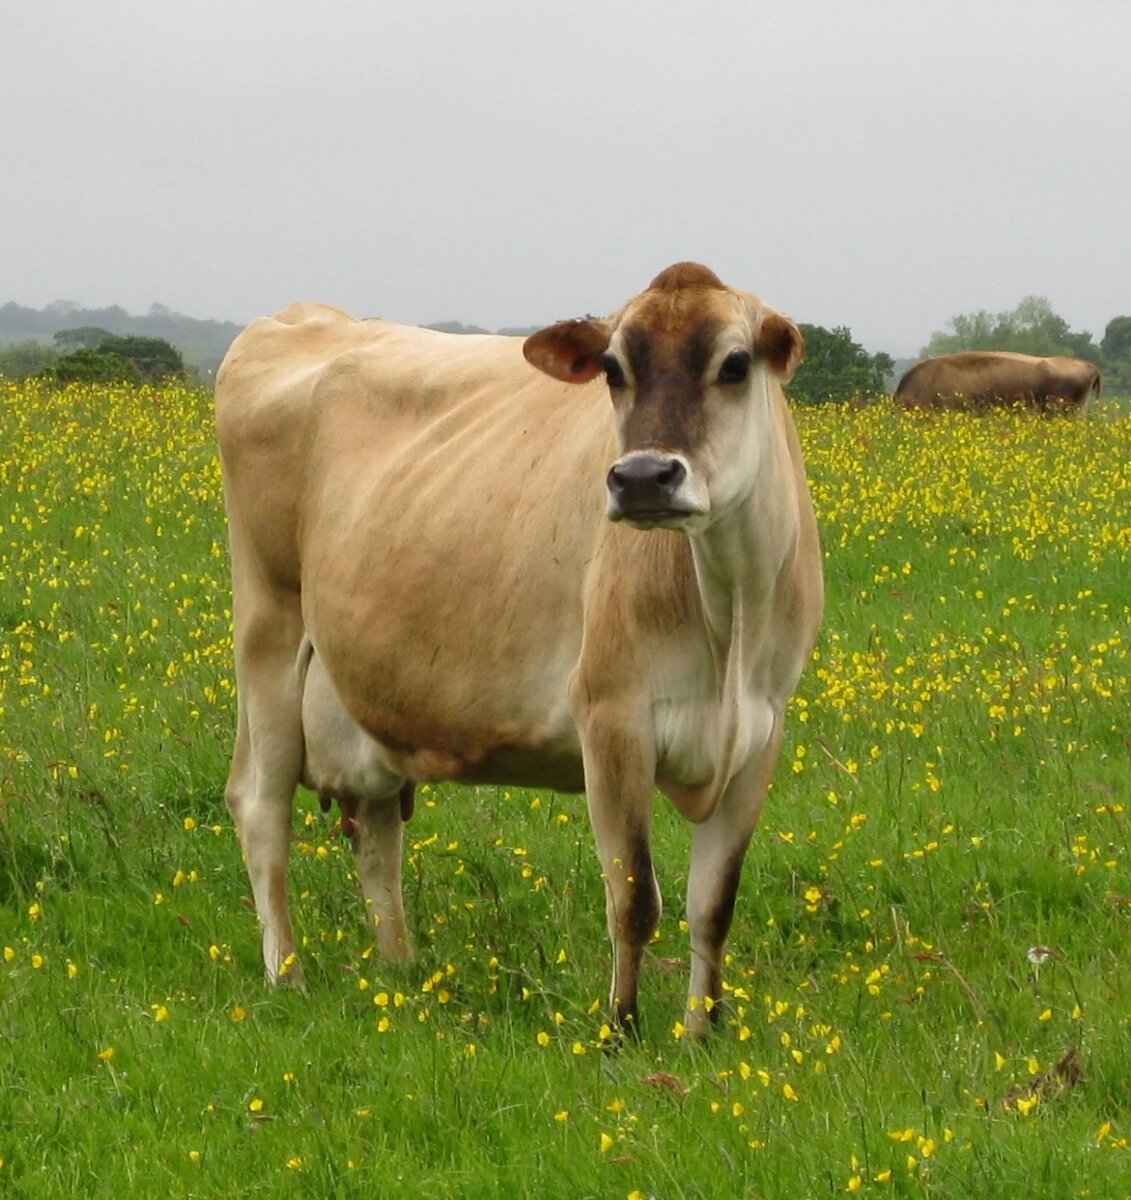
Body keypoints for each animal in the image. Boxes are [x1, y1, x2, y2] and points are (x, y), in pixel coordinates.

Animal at [217, 262, 826, 1032]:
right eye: (612, 369)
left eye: (736, 364)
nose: (642, 477)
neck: (730, 617)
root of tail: (301, 315)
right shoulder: (611, 717)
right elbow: (634, 898)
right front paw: (620, 1032)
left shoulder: (759, 732)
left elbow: (712, 906)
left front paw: (701, 1034)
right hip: (269, 625)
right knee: (260, 806)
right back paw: (288, 977)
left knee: (377, 829)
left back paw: (399, 970)